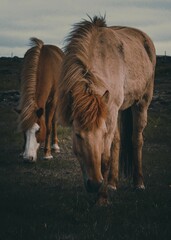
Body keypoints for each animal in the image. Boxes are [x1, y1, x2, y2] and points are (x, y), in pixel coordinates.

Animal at [56, 16, 156, 204]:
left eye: (101, 134)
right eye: (77, 135)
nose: (94, 183)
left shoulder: (109, 116)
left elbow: (105, 158)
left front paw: (102, 200)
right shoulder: (108, 113)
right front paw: (105, 188)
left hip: (141, 104)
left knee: (136, 140)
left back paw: (138, 183)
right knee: (117, 141)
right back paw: (112, 183)